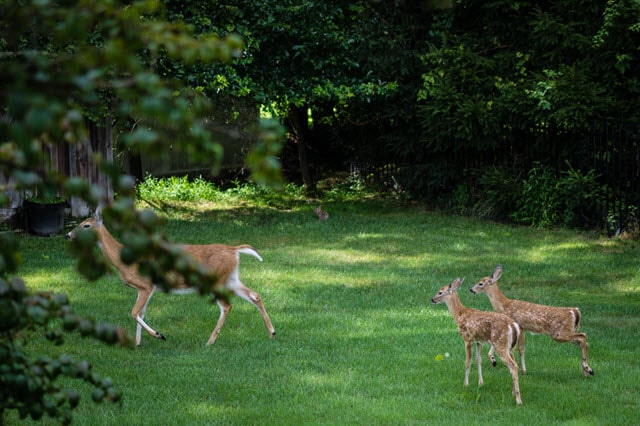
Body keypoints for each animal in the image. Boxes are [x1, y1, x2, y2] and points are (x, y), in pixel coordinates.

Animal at [65, 216, 276, 346]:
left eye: (86, 225)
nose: (68, 235)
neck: (122, 260)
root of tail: (234, 250)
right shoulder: (146, 288)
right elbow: (141, 312)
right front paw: (138, 343)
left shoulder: (145, 285)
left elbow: (134, 312)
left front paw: (159, 335)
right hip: (230, 277)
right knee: (254, 295)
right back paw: (271, 333)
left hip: (216, 280)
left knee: (227, 305)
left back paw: (210, 341)